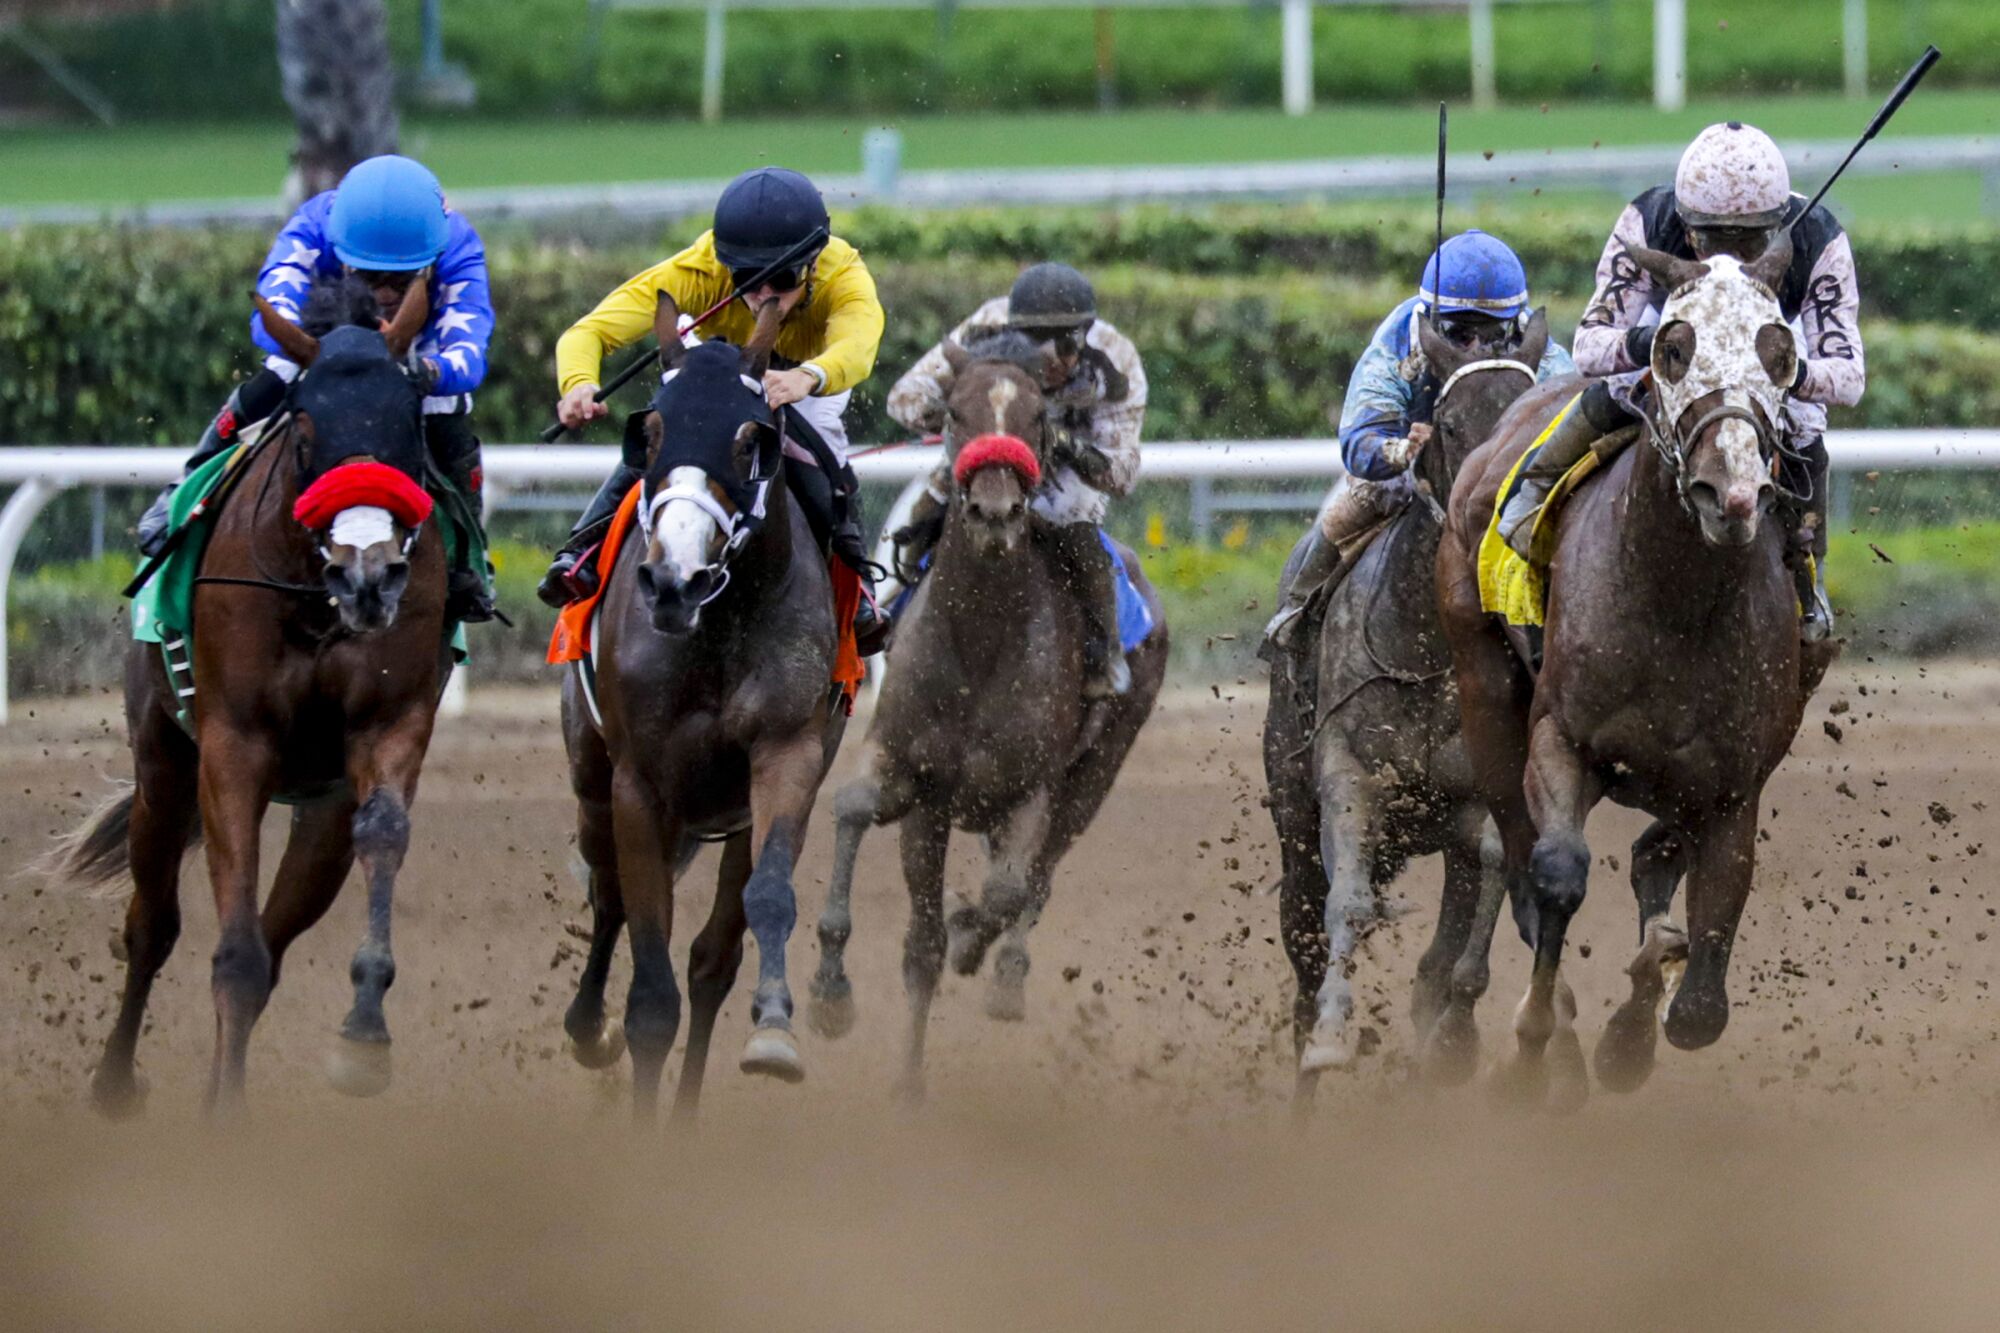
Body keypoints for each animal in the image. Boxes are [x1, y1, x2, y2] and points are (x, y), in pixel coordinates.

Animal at [48, 278, 448, 1112]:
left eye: (407, 421)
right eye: (305, 428)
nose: (368, 576)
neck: (315, 602)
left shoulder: (387, 726)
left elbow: (383, 830)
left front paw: (363, 1033)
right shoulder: (232, 745)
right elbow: (228, 950)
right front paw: (225, 1114)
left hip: (319, 812)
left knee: (278, 931)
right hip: (163, 765)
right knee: (152, 924)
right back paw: (113, 1082)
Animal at [560, 300, 856, 1120]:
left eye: (751, 441)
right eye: (651, 432)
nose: (674, 582)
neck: (715, 628)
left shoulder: (786, 756)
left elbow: (760, 906)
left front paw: (775, 1032)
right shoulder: (640, 783)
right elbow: (648, 991)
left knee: (709, 957)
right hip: (593, 779)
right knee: (607, 895)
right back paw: (587, 1028)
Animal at [804, 332, 1168, 1096]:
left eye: (1036, 418)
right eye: (954, 413)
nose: (995, 512)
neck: (979, 642)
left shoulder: (1027, 787)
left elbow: (1003, 891)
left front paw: (972, 937)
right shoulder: (918, 782)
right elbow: (861, 823)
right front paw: (837, 1001)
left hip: (1096, 773)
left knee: (1039, 875)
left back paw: (1002, 972)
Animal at [1264, 306, 1544, 1096]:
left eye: (1530, 416)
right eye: (1446, 423)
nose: (1486, 519)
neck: (1427, 650)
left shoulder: (1483, 793)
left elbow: (1491, 872)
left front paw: (1454, 1033)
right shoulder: (1349, 775)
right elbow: (1350, 903)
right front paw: (1333, 1035)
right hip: (1293, 818)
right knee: (1304, 940)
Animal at [1440, 241, 1840, 1096]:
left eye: (1780, 350)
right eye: (1672, 345)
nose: (1731, 493)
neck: (1675, 601)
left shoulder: (1731, 787)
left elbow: (1698, 1004)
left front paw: (1632, 1026)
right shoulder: (1560, 735)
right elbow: (1557, 873)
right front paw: (1536, 1047)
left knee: (1652, 856)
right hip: (1482, 678)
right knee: (1518, 856)